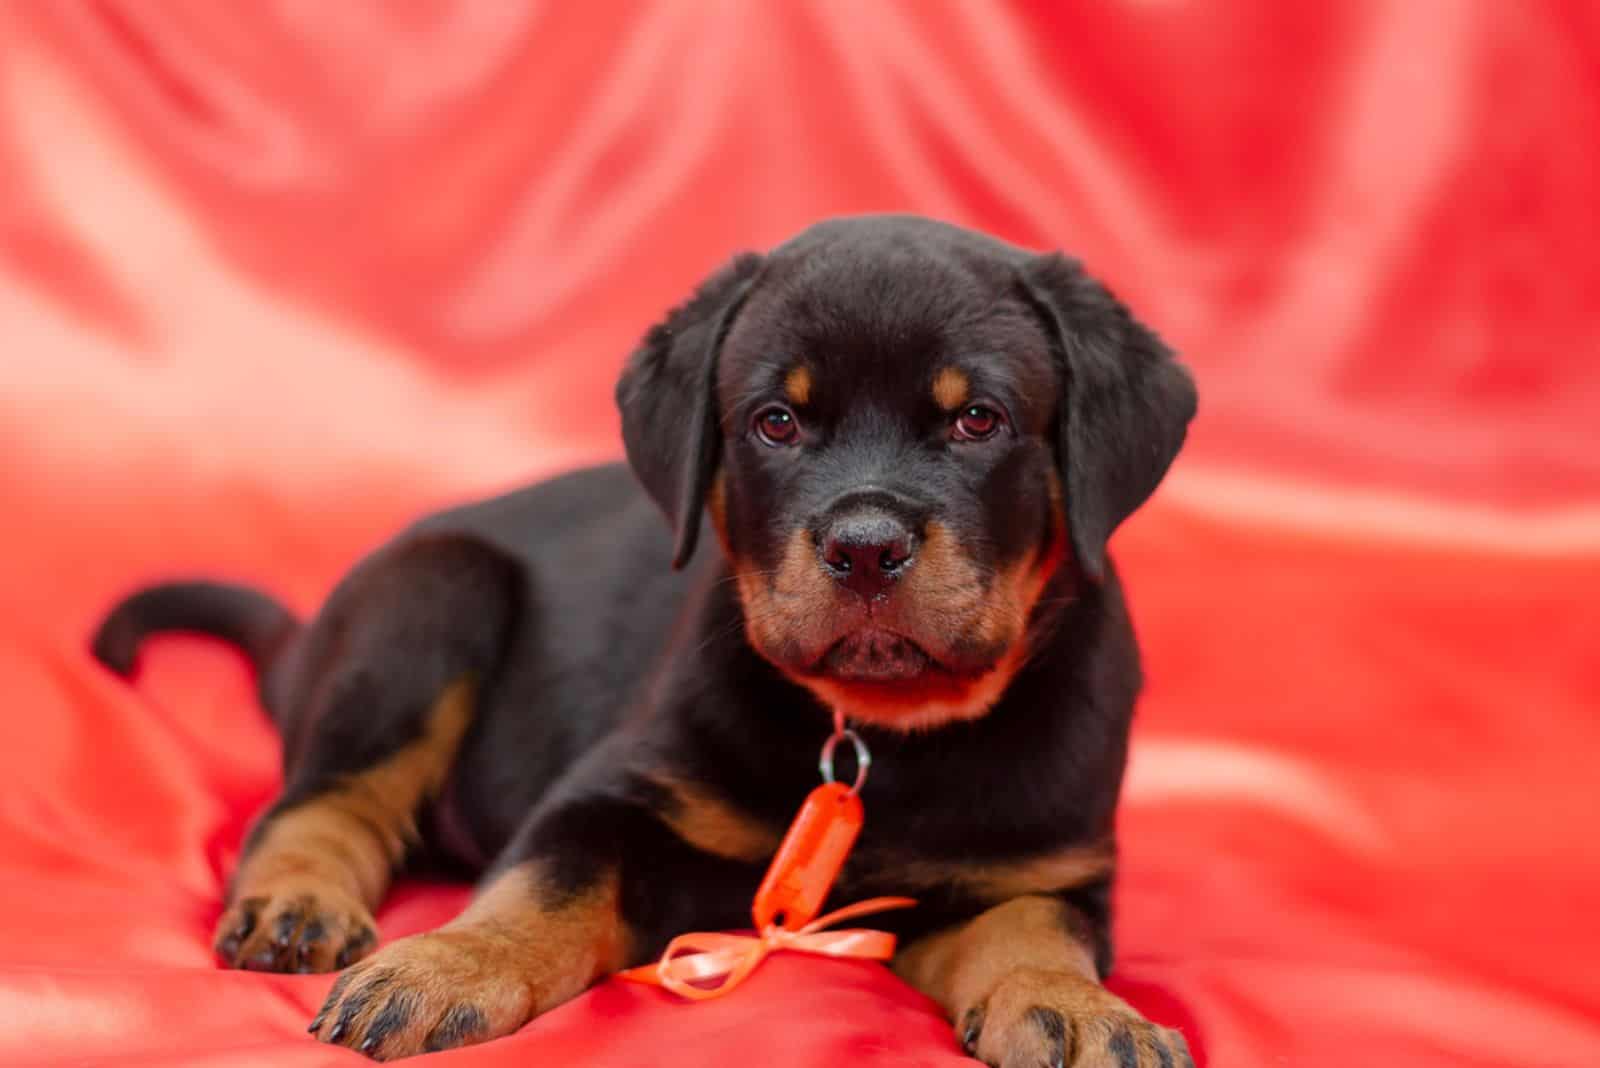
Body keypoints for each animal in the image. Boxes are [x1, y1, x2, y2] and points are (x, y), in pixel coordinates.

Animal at [96, 212, 1203, 1061]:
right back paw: (298, 905)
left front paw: (1077, 1011)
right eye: (774, 422)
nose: (865, 547)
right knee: (323, 801)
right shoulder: (612, 796)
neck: (881, 737)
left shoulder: (1044, 871)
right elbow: (542, 890)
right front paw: (439, 966)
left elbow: (1031, 932)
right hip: (432, 593)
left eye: (979, 421)